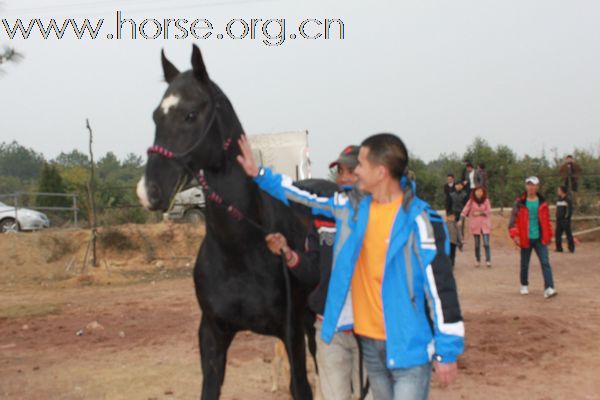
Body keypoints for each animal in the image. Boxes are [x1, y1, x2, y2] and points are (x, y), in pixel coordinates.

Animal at [136, 45, 314, 398]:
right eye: (156, 116)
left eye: (191, 114)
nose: (149, 191)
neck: (242, 251)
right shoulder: (212, 334)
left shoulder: (291, 331)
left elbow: (300, 386)